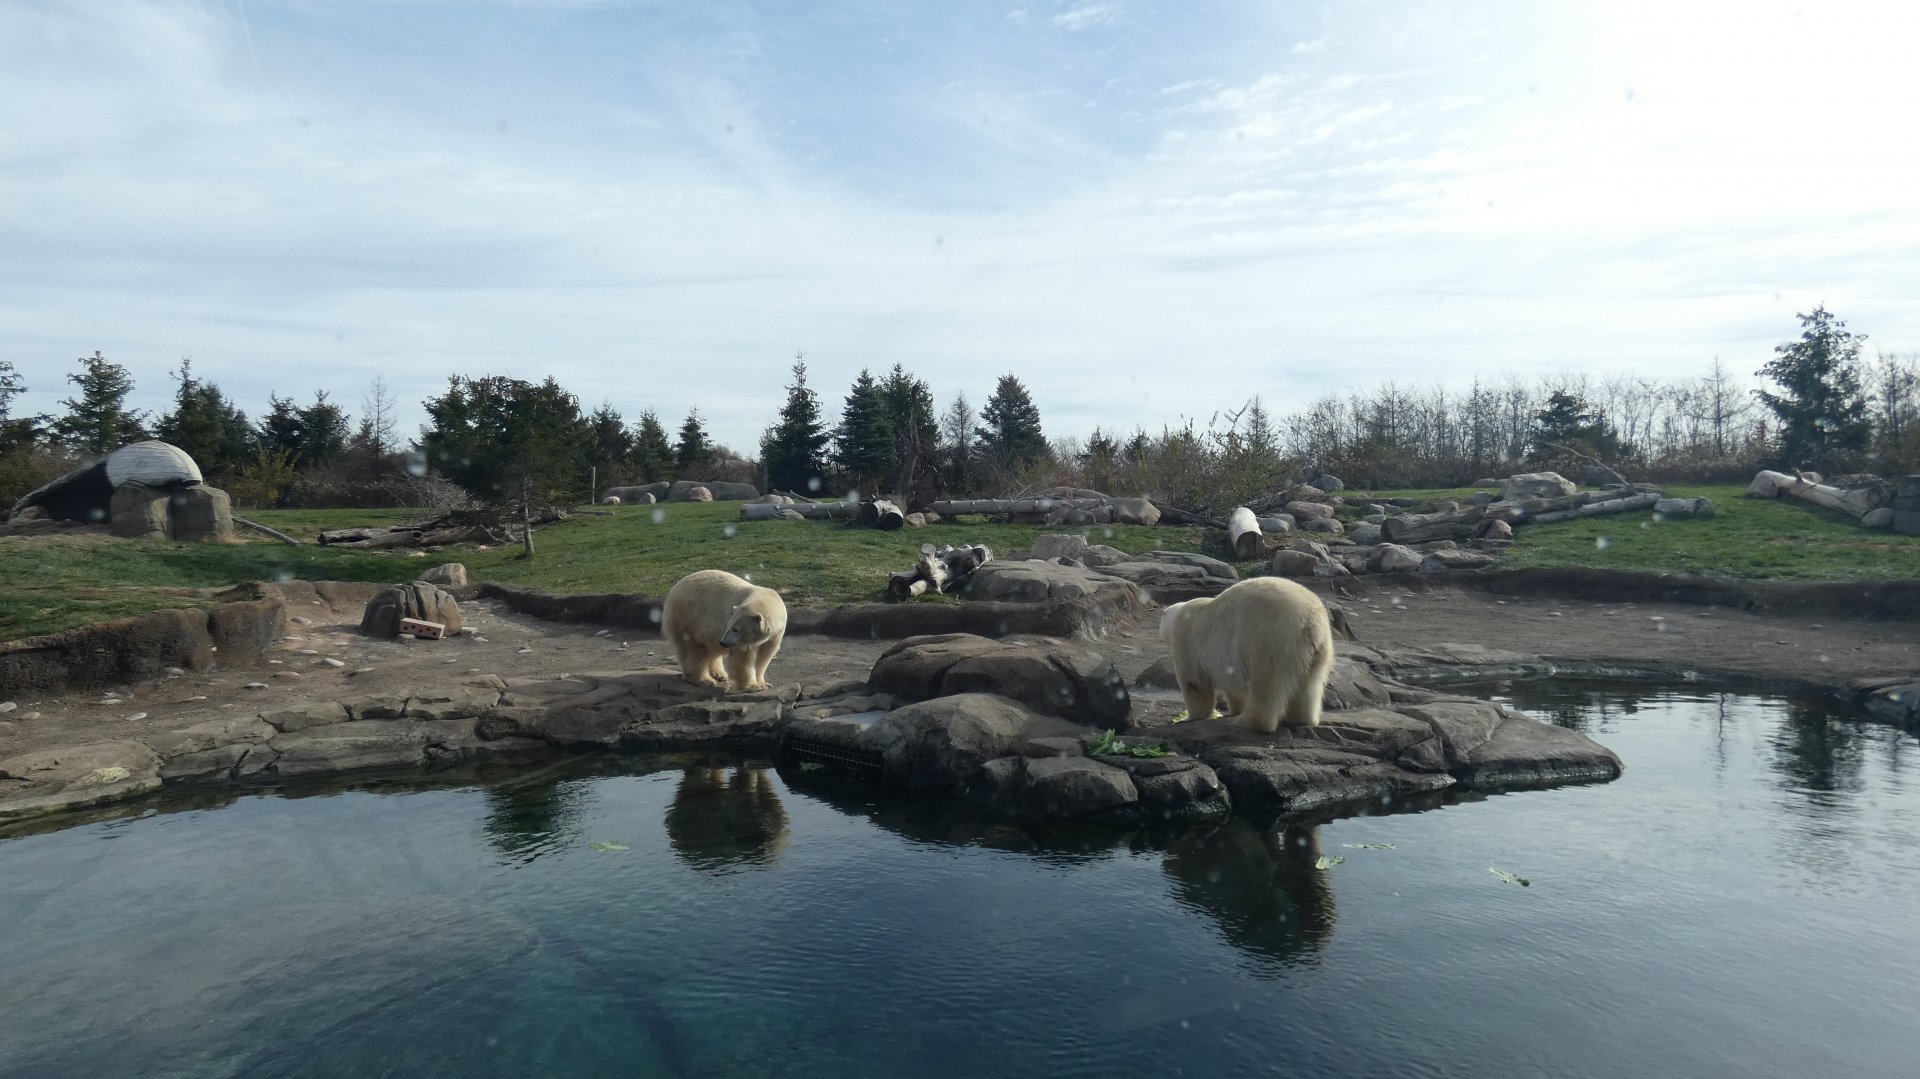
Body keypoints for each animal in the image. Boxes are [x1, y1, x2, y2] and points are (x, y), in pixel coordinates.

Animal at [659, 569, 788, 692]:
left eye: (736, 629)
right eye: (728, 625)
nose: (723, 642)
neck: (768, 598)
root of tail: (672, 591)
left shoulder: (776, 633)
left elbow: (764, 655)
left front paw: (763, 683)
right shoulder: (740, 642)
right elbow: (743, 657)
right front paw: (752, 686)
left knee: (710, 647)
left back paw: (719, 674)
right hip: (689, 618)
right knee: (693, 649)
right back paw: (703, 680)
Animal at [1159, 576, 1334, 733]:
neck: (1181, 612)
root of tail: (1309, 622)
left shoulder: (1185, 638)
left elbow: (1194, 682)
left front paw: (1189, 717)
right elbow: (1233, 687)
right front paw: (1235, 709)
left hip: (1270, 639)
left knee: (1266, 684)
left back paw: (1249, 722)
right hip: (1319, 649)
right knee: (1309, 685)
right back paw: (1300, 719)